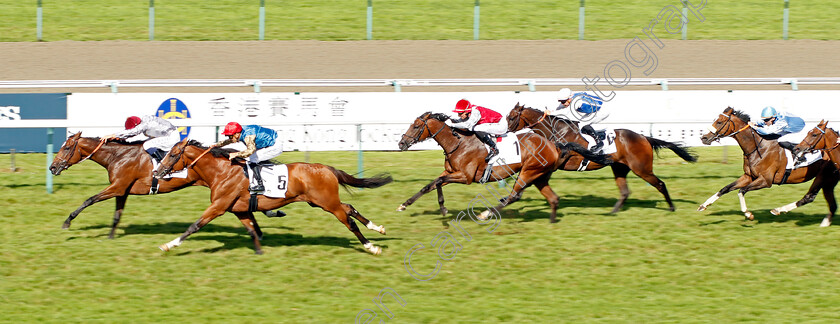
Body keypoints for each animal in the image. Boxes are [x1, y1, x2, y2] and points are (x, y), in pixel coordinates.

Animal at [48, 133, 208, 239]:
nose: (52, 167)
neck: (118, 156)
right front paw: (110, 237)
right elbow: (117, 215)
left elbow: (89, 200)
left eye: (67, 147)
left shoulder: (117, 187)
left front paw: (67, 222)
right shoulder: (122, 191)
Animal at [153, 139, 392, 256]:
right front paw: (259, 250)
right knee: (350, 207)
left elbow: (194, 226)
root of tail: (325, 168)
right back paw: (378, 228)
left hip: (328, 203)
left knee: (349, 221)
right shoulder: (239, 209)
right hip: (320, 202)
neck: (221, 172)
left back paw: (371, 246)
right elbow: (251, 229)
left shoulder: (219, 206)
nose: (157, 172)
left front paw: (169, 245)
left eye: (172, 155)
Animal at [394, 111, 612, 223]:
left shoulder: (465, 176)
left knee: (514, 196)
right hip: (540, 176)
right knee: (552, 198)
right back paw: (551, 220)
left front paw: (443, 209)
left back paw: (486, 213)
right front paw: (404, 204)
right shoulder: (450, 172)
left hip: (528, 172)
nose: (401, 143)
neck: (458, 143)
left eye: (416, 126)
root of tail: (554, 145)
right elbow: (430, 185)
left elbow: (438, 182)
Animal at [506, 103, 696, 213]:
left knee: (660, 184)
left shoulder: (559, 161)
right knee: (625, 192)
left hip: (642, 169)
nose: (505, 133)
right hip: (620, 167)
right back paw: (612, 211)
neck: (557, 131)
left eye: (512, 117)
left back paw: (671, 207)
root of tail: (644, 137)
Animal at [700, 107, 836, 221]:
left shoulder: (766, 180)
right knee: (811, 197)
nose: (703, 138)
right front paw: (703, 205)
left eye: (719, 122)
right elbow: (725, 188)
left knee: (810, 197)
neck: (758, 148)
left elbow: (741, 191)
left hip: (824, 175)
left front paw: (748, 214)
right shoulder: (748, 176)